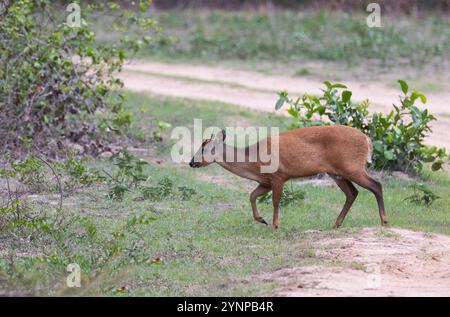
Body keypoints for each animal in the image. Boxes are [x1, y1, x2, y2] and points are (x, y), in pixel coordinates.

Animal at [189, 124, 386, 230]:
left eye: (204, 148)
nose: (191, 162)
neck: (253, 161)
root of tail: (367, 140)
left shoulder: (278, 176)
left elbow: (276, 201)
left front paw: (275, 225)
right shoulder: (265, 181)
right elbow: (252, 196)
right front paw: (261, 220)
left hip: (352, 166)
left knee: (376, 185)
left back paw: (384, 221)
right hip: (337, 172)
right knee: (352, 193)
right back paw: (336, 224)